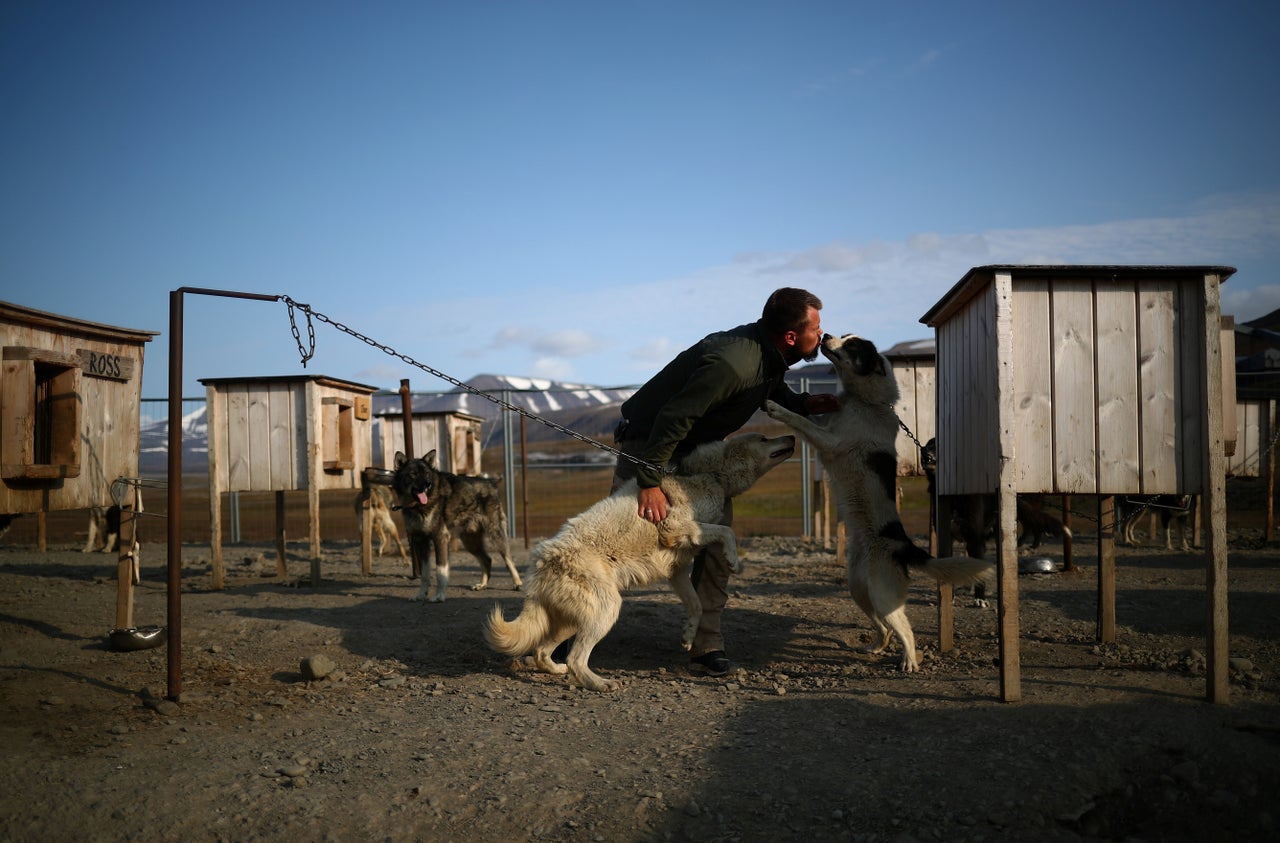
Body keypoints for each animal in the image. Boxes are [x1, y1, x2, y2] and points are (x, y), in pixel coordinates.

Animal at [394, 447, 524, 601]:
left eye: (426, 474)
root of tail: (490, 483)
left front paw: (439, 596)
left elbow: (440, 572)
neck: (417, 506)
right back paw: (482, 585)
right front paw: (421, 595)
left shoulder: (440, 539)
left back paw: (517, 583)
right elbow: (425, 575)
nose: (427, 484)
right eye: (413, 474)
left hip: (495, 535)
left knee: (508, 559)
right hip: (471, 543)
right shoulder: (421, 542)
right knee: (487, 560)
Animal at [483, 434, 793, 690]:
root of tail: (541, 562)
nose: (790, 436)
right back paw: (600, 684)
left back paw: (558, 670)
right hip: (606, 610)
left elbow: (697, 605)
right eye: (764, 438)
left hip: (575, 620)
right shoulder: (676, 527)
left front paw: (688, 637)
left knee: (542, 652)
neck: (708, 473)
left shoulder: (677, 571)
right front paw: (733, 560)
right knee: (575, 658)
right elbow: (727, 532)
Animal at [762, 335, 993, 670]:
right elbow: (808, 417)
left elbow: (799, 421)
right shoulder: (828, 432)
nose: (825, 336)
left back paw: (909, 660)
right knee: (885, 626)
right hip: (859, 587)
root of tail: (903, 544)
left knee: (905, 628)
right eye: (845, 336)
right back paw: (876, 645)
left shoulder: (831, 441)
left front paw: (774, 406)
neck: (864, 403)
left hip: (881, 594)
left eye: (853, 346)